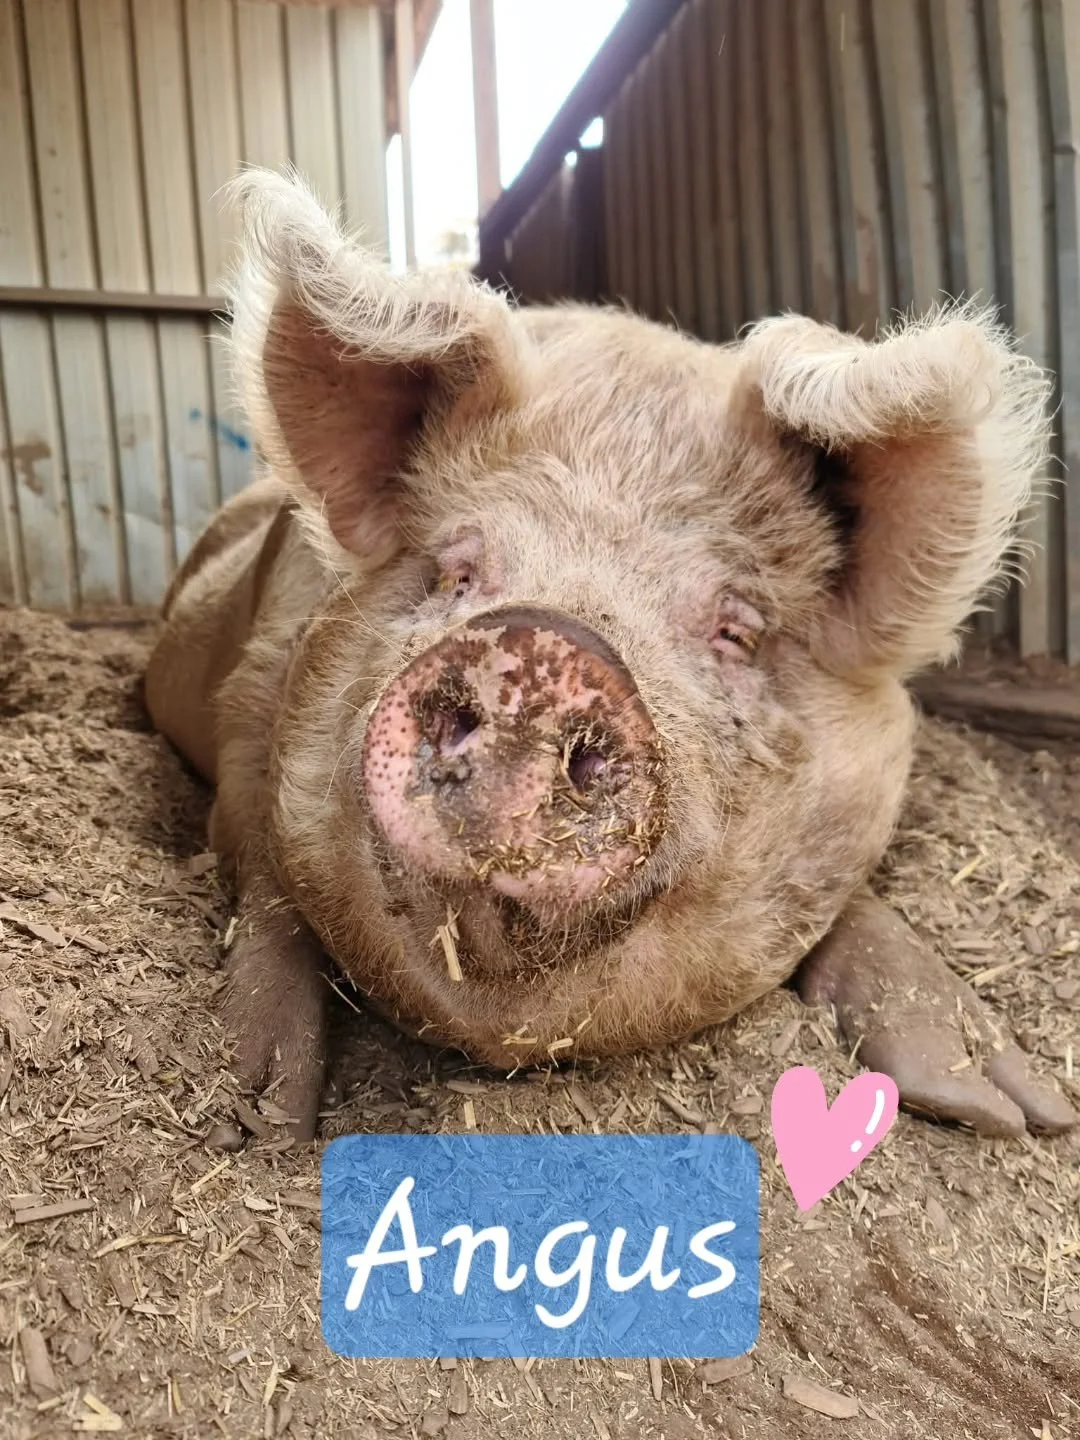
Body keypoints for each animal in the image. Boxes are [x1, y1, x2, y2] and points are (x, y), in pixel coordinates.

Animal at [145, 169, 1075, 1141]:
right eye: (456, 572)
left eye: (736, 630)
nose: (540, 647)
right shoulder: (252, 689)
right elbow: (262, 874)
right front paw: (252, 1112)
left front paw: (1013, 1113)